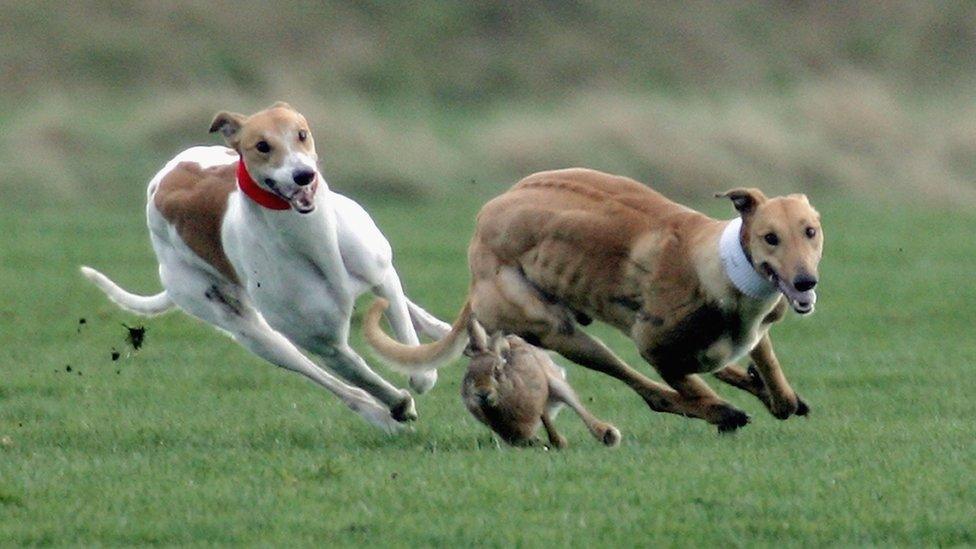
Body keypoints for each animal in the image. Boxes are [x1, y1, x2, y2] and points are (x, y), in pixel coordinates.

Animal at [80, 100, 450, 430]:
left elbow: (406, 333)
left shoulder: (382, 274)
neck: (311, 238)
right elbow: (363, 372)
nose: (303, 175)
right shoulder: (324, 343)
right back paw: (381, 414)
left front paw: (426, 359)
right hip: (251, 332)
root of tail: (160, 180)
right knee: (324, 376)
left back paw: (444, 332)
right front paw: (399, 401)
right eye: (262, 145)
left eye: (301, 134)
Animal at [366, 168, 824, 432]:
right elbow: (687, 385)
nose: (805, 282)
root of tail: (479, 231)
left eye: (810, 231)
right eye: (770, 237)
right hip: (558, 330)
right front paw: (721, 408)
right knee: (650, 390)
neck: (718, 266)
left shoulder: (756, 329)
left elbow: (771, 375)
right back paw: (721, 411)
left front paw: (777, 393)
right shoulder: (655, 349)